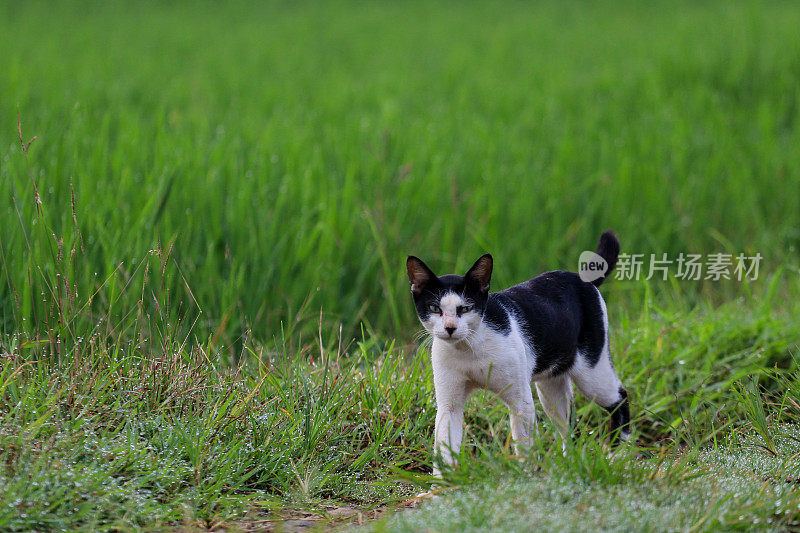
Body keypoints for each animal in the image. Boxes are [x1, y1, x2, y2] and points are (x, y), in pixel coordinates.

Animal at [406, 231, 632, 472]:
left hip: (591, 373)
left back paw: (618, 455)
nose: (450, 328)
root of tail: (582, 279)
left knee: (620, 398)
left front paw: (524, 475)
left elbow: (524, 447)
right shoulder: (449, 405)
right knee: (569, 425)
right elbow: (444, 450)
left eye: (465, 308)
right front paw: (442, 481)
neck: (469, 350)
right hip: (551, 389)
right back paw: (569, 465)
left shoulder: (520, 401)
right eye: (434, 308)